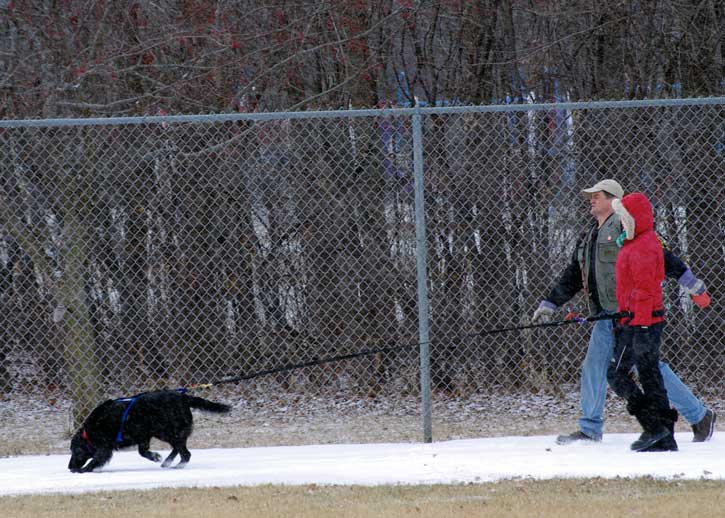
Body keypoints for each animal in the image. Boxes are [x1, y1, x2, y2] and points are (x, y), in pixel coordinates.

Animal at [67, 390, 229, 476]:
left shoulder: (105, 447)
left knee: (185, 453)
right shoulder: (143, 437)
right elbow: (143, 452)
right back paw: (167, 462)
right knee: (179, 448)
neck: (88, 433)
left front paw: (82, 470)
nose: (69, 466)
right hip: (164, 433)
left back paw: (177, 466)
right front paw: (155, 457)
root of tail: (183, 397)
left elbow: (95, 460)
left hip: (169, 432)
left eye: (75, 451)